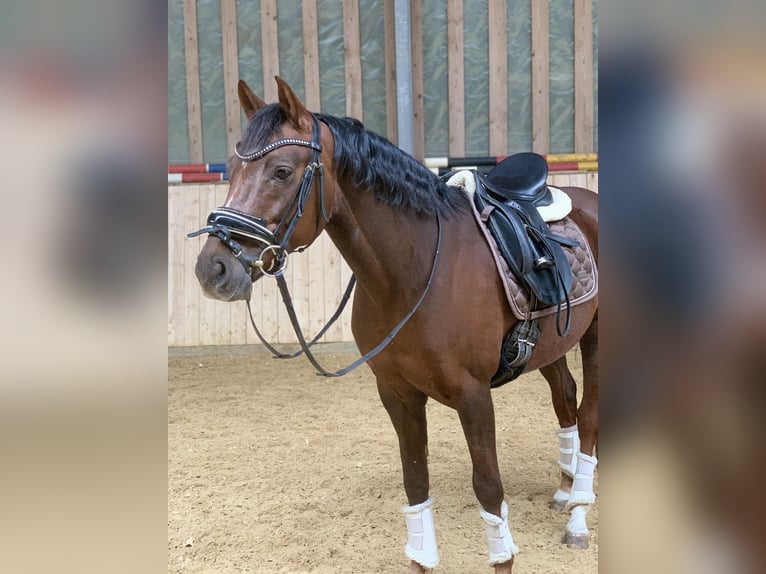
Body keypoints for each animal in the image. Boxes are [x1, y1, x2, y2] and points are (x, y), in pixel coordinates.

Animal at [194, 77, 600, 574]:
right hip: (552, 345)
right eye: (231, 168)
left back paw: (578, 516)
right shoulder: (397, 393)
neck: (414, 270)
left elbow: (489, 489)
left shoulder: (474, 396)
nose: (212, 268)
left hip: (597, 340)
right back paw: (565, 489)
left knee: (590, 417)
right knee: (565, 400)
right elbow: (416, 485)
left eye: (282, 172)